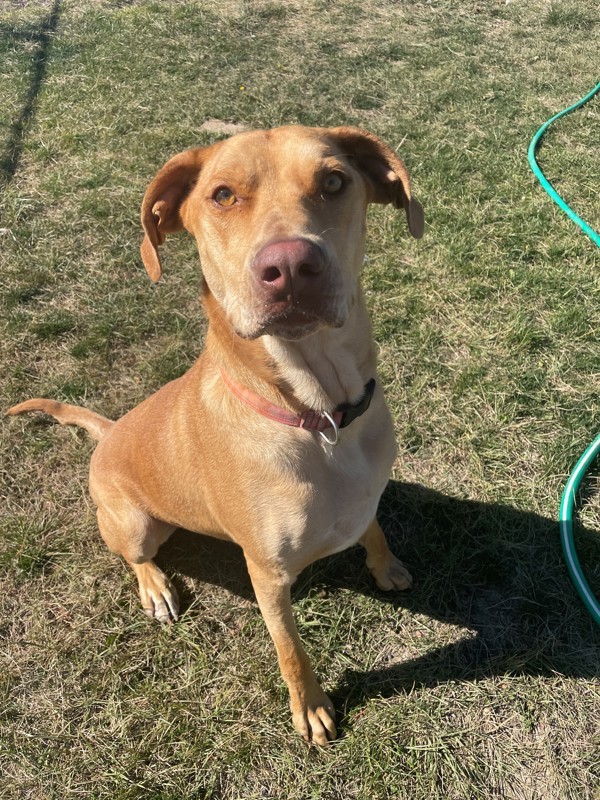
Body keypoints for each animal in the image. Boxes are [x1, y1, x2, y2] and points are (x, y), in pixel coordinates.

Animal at [7, 125, 424, 744]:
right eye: (223, 195)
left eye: (333, 181)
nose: (291, 266)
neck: (318, 415)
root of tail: (109, 432)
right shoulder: (267, 575)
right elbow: (290, 649)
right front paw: (310, 708)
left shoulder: (365, 495)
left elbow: (372, 528)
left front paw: (385, 564)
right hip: (135, 526)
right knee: (135, 556)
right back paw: (155, 587)